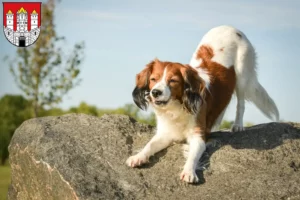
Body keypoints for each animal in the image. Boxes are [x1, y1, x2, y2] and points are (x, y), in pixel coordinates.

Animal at [125, 25, 278, 183]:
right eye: (153, 79)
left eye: (173, 81)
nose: (155, 92)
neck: (177, 107)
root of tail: (230, 27)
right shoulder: (166, 133)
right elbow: (149, 145)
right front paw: (138, 157)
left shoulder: (198, 136)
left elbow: (193, 156)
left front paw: (189, 171)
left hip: (242, 74)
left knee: (240, 103)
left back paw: (238, 125)